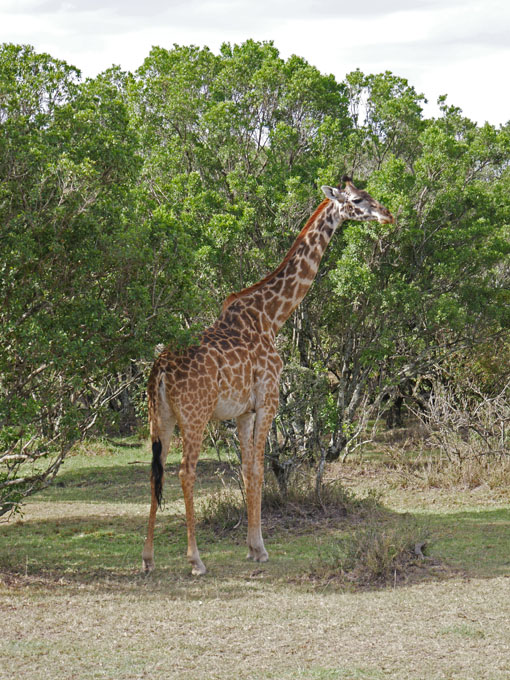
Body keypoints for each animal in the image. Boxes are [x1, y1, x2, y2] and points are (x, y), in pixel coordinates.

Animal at [143, 175, 394, 572]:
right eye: (356, 200)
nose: (387, 215)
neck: (272, 317)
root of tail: (161, 370)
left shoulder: (243, 411)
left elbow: (248, 470)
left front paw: (251, 545)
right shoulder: (268, 401)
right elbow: (260, 470)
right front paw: (260, 548)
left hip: (160, 418)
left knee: (156, 470)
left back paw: (148, 558)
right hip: (195, 416)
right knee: (185, 471)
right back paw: (196, 559)